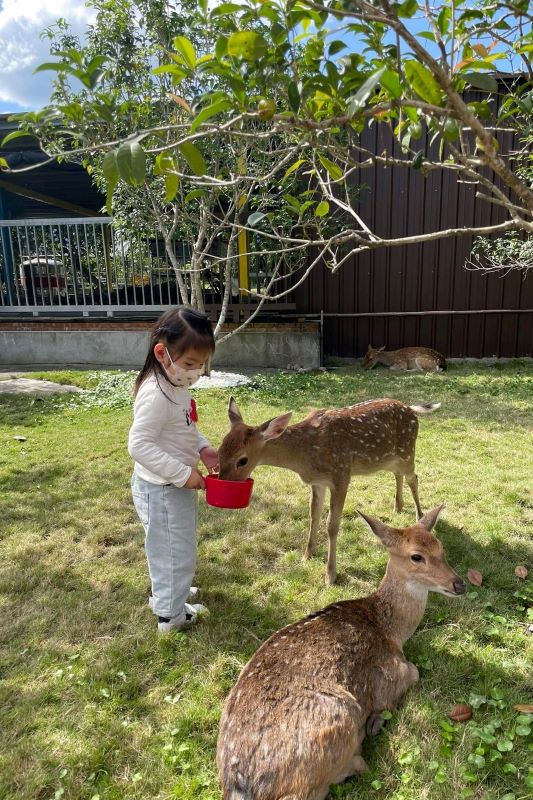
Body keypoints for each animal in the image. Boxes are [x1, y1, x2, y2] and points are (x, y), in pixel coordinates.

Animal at [217, 396, 440, 584]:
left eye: (242, 460)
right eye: (219, 451)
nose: (222, 483)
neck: (304, 456)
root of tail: (410, 408)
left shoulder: (341, 475)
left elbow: (332, 525)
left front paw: (330, 575)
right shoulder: (318, 482)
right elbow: (313, 514)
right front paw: (307, 555)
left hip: (407, 450)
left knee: (414, 478)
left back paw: (420, 516)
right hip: (389, 458)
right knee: (398, 474)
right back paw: (397, 507)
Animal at [217, 506, 466, 800]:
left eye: (441, 548)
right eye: (417, 556)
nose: (460, 584)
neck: (391, 629)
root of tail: (242, 787)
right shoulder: (390, 671)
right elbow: (413, 673)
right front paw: (379, 716)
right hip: (340, 715)